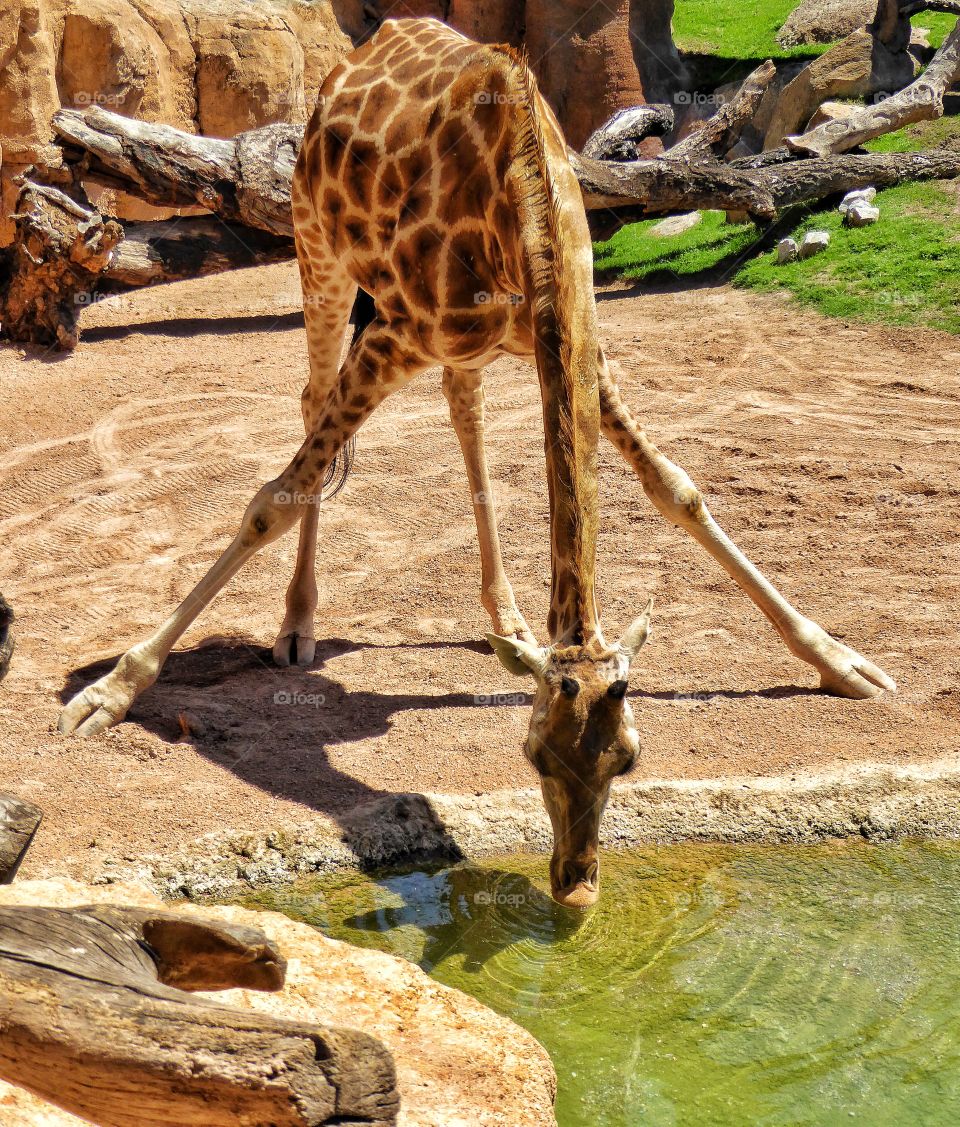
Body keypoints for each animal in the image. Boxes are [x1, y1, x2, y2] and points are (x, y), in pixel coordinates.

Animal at [60, 21, 896, 910]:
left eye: (629, 756)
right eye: (532, 753)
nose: (577, 884)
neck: (523, 200)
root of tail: (358, 55)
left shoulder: (569, 341)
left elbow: (677, 488)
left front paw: (841, 661)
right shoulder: (394, 331)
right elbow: (273, 499)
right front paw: (108, 692)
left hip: (459, 342)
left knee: (464, 415)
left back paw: (507, 617)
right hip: (320, 253)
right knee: (313, 407)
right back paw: (297, 627)